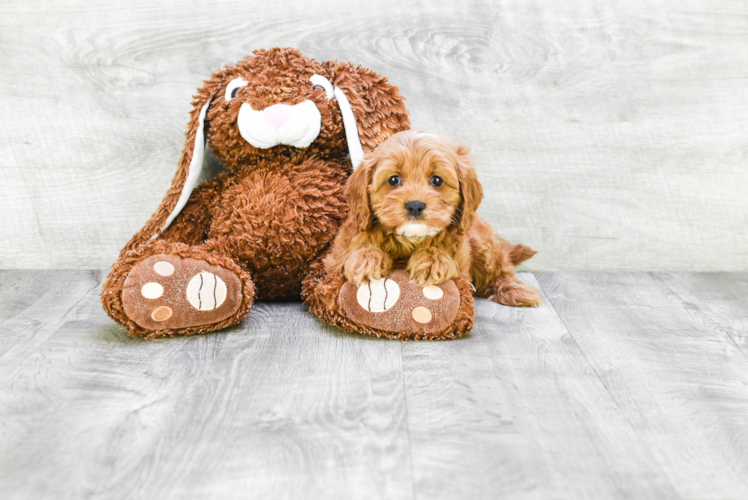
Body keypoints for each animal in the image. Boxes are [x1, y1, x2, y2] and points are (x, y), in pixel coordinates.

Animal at [324, 131, 540, 306]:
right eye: (394, 180)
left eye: (437, 180)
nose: (415, 205)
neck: (410, 239)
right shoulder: (333, 259)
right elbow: (347, 257)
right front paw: (366, 258)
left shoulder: (462, 266)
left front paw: (432, 260)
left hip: (483, 241)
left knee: (500, 270)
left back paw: (517, 290)